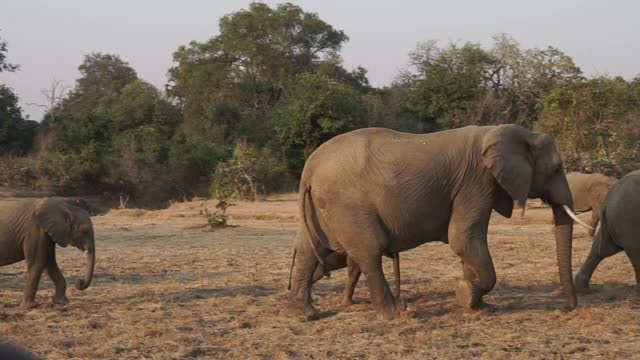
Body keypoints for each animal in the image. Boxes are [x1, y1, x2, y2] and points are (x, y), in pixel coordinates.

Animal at [284, 124, 592, 320]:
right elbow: (464, 239)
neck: (505, 132)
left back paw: (306, 314)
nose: (566, 309)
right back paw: (392, 315)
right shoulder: (476, 183)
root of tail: (310, 168)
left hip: (322, 208)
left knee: (308, 250)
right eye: (557, 169)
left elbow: (467, 245)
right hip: (348, 204)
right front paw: (466, 294)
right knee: (369, 252)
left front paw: (478, 306)